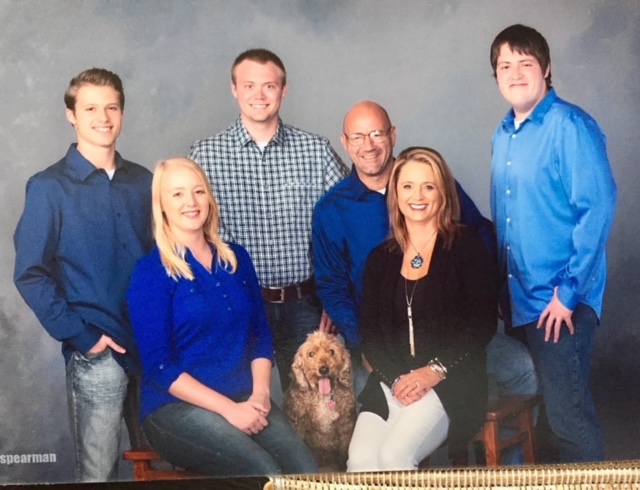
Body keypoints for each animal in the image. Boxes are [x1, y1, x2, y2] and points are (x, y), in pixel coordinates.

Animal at [283, 331, 357, 471]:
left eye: (332, 351)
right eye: (311, 354)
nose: (323, 369)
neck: (323, 397)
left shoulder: (346, 425)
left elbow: (344, 449)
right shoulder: (298, 425)